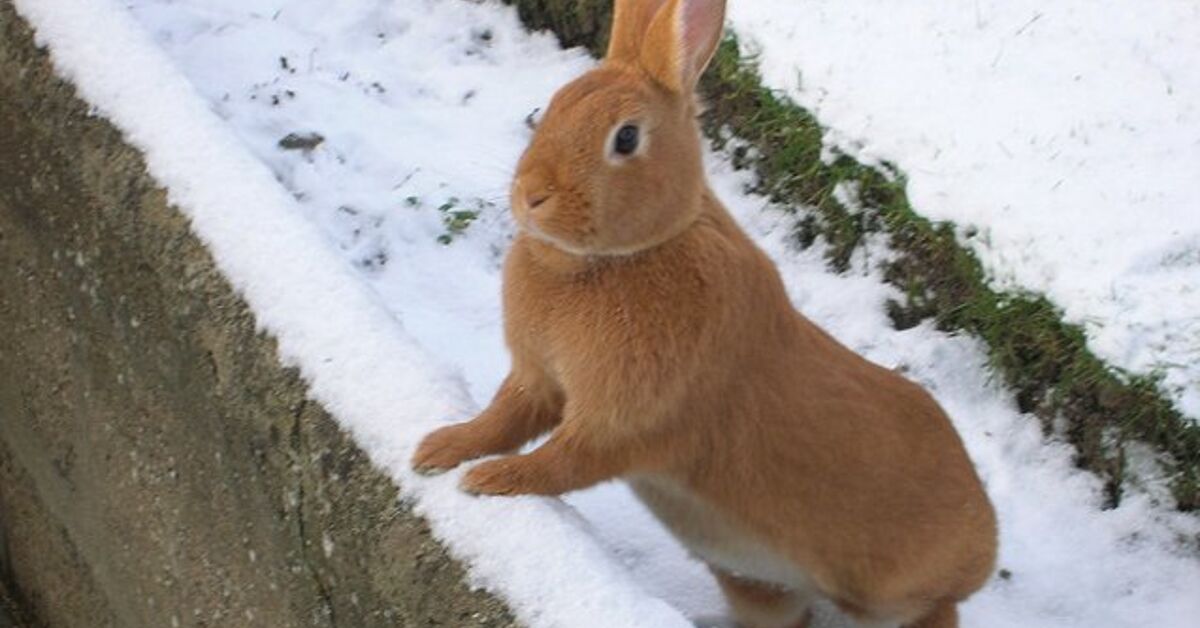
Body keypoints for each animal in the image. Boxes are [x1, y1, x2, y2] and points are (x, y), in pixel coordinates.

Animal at [412, 0, 998, 626]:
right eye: (556, 104)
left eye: (625, 138)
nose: (531, 195)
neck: (625, 255)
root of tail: (985, 547)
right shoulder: (539, 379)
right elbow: (502, 419)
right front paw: (437, 451)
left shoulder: (627, 418)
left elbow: (562, 461)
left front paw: (490, 481)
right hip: (756, 582)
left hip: (902, 598)